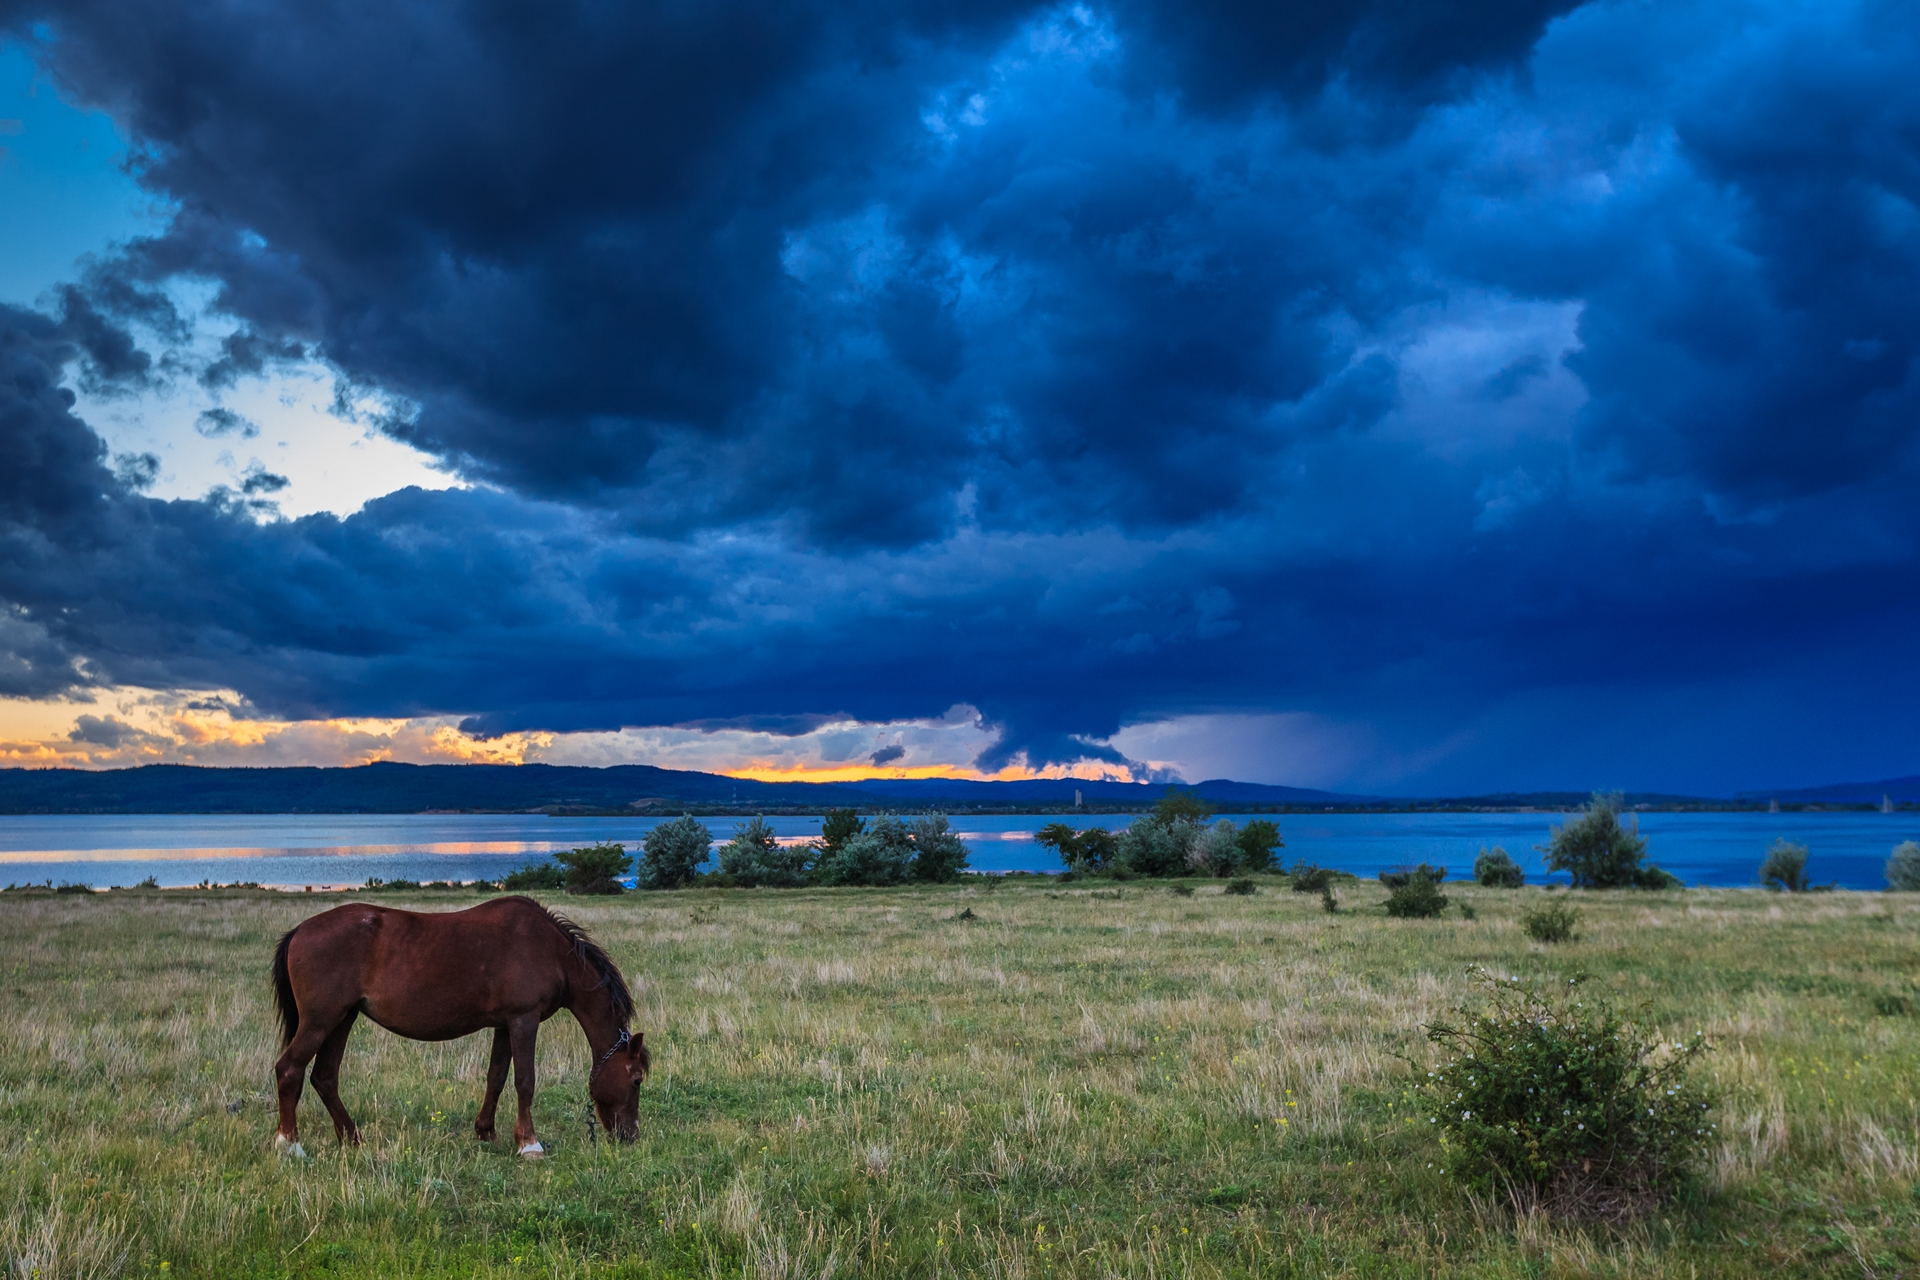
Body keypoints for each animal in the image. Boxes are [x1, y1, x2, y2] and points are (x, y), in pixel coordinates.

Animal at [269, 895, 650, 1158]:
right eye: (636, 1080)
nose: (630, 1136)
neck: (551, 952)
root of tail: (300, 930)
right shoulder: (524, 1021)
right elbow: (525, 1082)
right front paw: (529, 1144)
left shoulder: (505, 1025)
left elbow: (496, 1077)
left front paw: (486, 1132)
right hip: (320, 1021)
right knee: (289, 1070)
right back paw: (289, 1145)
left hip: (342, 1019)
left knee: (324, 1078)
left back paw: (352, 1138)